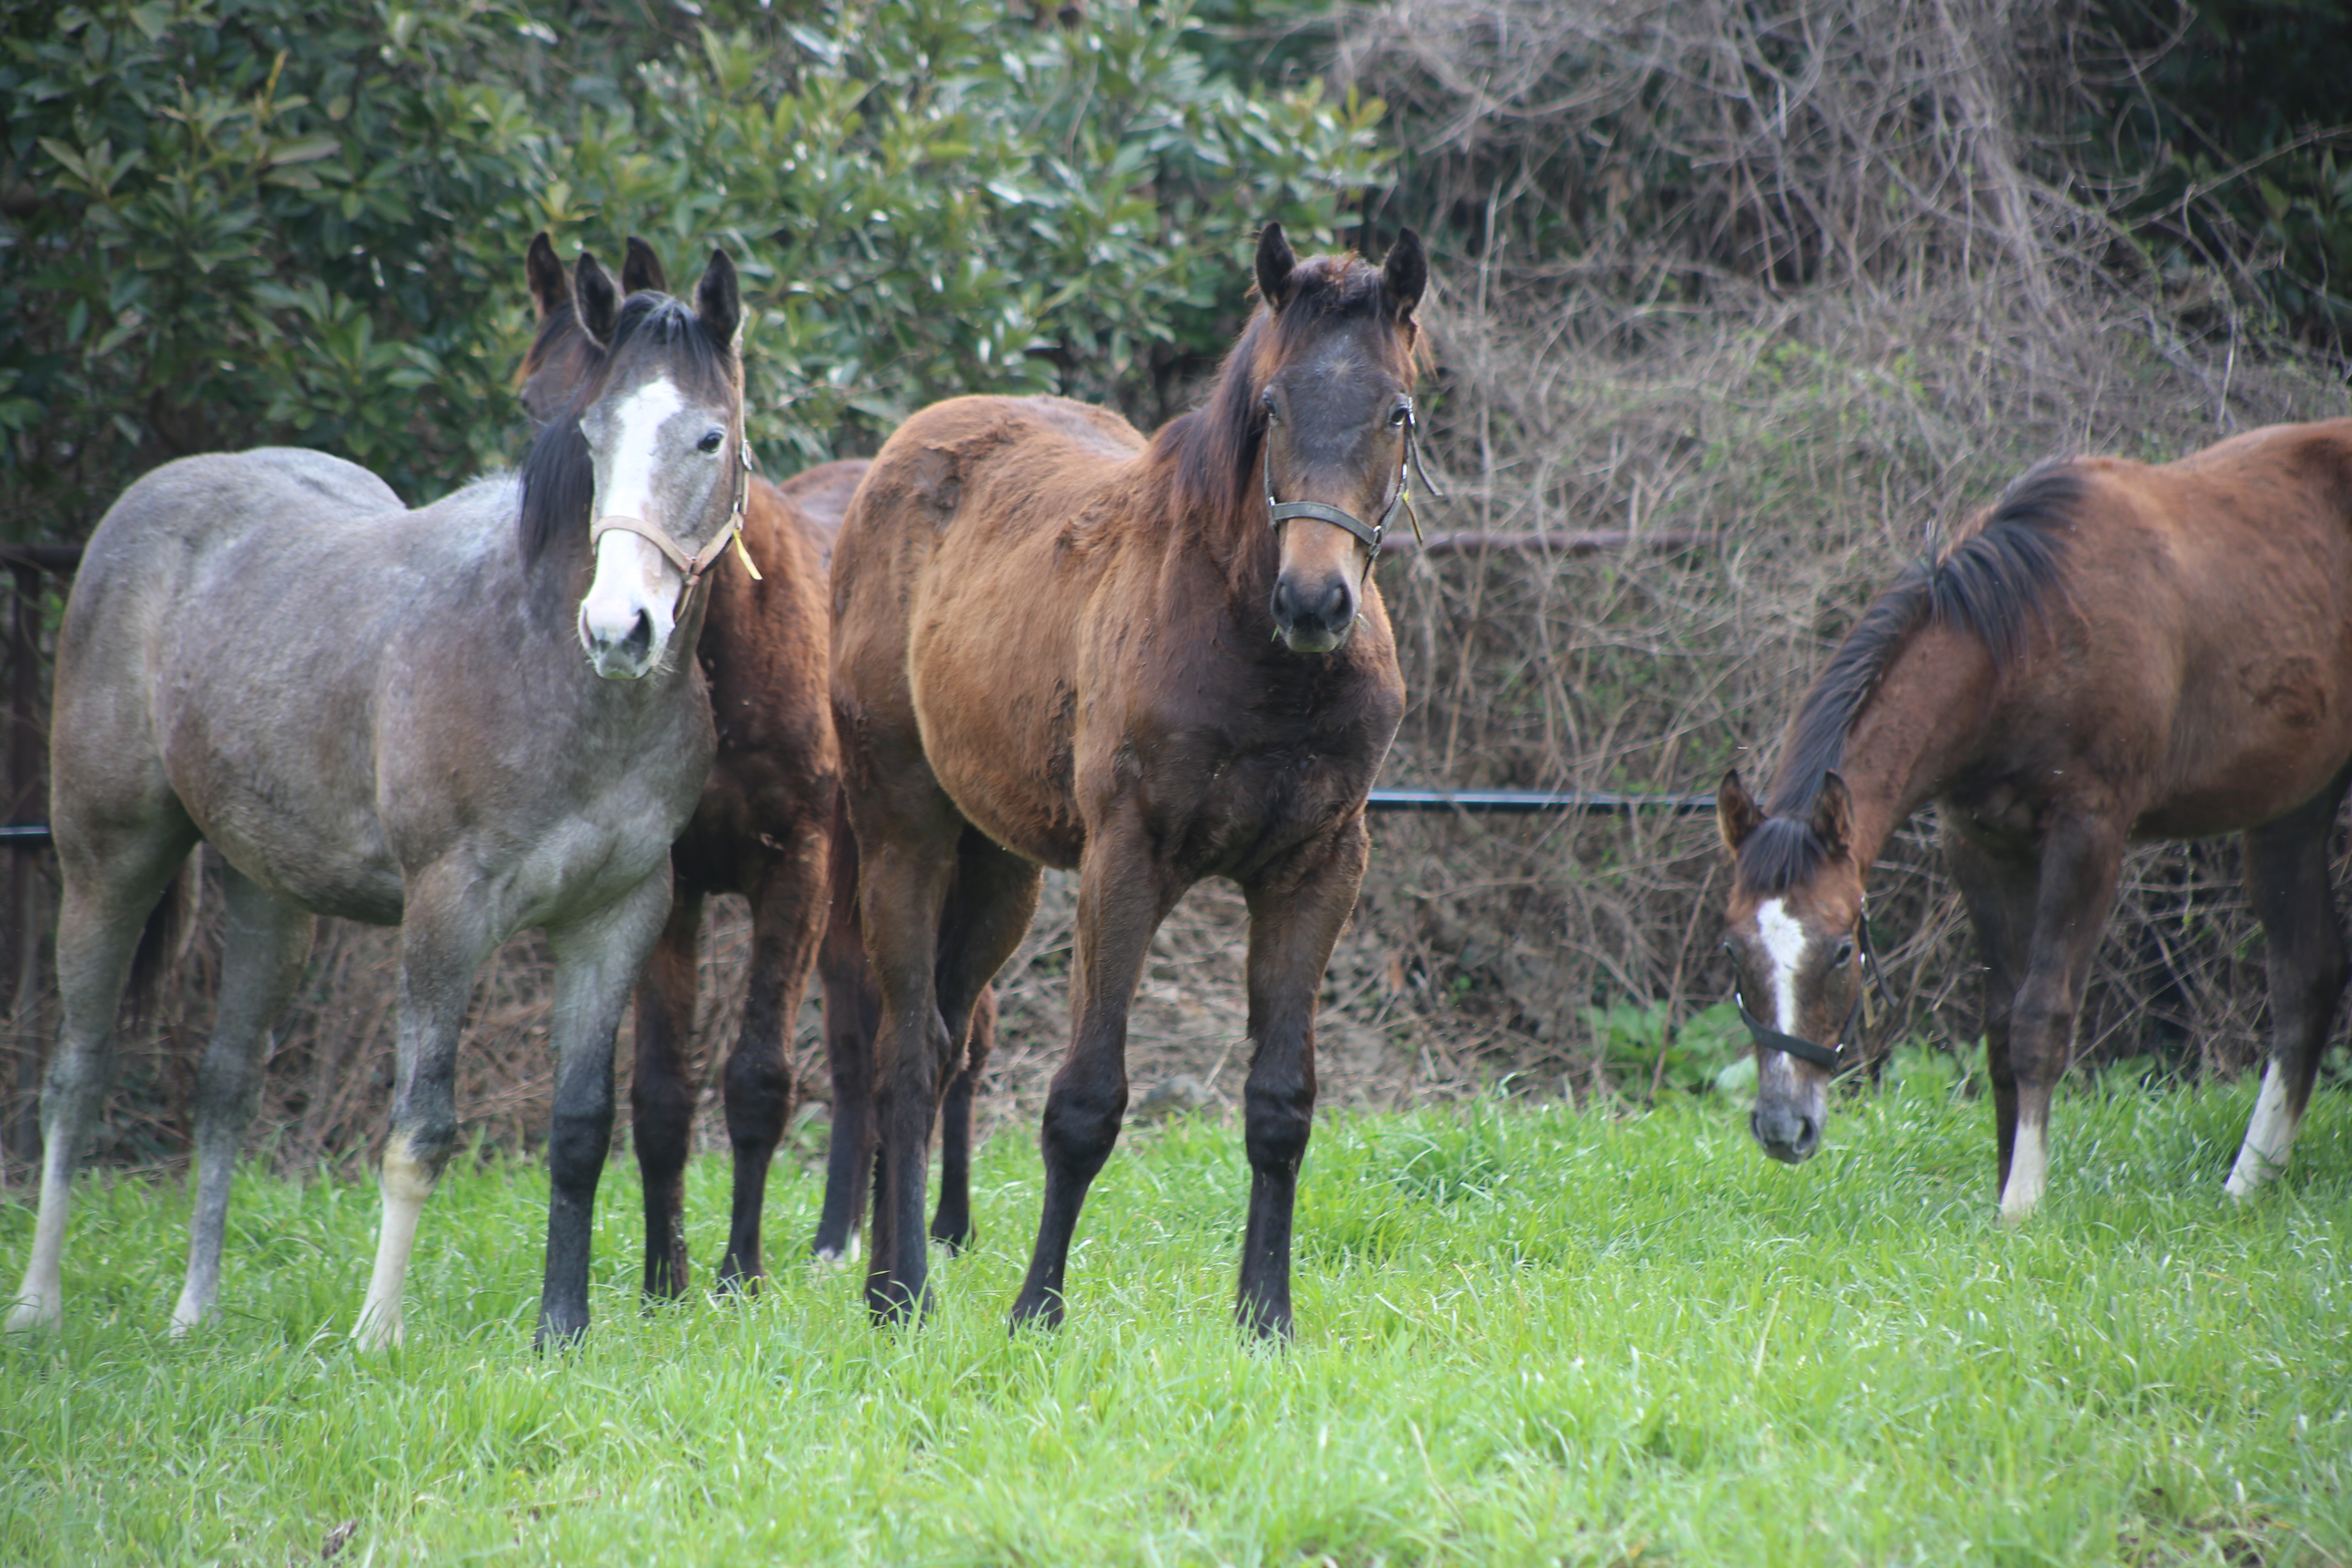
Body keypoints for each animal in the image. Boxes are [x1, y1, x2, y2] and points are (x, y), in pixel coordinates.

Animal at [4, 248, 743, 1354]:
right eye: (593, 435)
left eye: (709, 437)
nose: (621, 628)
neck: (544, 662)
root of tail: (145, 505)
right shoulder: (448, 910)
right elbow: (420, 1127)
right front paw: (378, 1334)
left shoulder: (617, 917)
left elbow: (578, 1129)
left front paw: (560, 1332)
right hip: (109, 861)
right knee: (76, 1071)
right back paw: (40, 1304)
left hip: (269, 892)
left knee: (227, 1081)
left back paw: (194, 1313)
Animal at [519, 236, 997, 1288]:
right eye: (559, 415)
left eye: (709, 438)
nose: (615, 624)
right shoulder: (668, 883)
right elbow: (663, 1091)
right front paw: (665, 1277)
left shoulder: (797, 866)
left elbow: (758, 1079)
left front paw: (739, 1270)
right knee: (863, 1043)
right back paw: (838, 1235)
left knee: (962, 1037)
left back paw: (944, 1226)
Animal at [837, 223, 1421, 1335]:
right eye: (1271, 407)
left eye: (1398, 412)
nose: (1315, 602)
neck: (1263, 661)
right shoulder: (1127, 859)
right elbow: (1084, 1100)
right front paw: (1035, 1311)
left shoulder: (1318, 869)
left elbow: (1280, 1104)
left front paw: (1265, 1317)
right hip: (901, 830)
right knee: (902, 1052)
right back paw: (900, 1292)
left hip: (1002, 871)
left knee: (943, 1038)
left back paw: (887, 1280)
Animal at [1712, 421, 2352, 1222]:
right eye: (1733, 950)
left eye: (1838, 952)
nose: (1782, 1127)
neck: (2020, 642)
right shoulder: (1979, 844)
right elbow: (1999, 1029)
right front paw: (2003, 1185)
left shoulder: (2088, 834)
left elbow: (2041, 1017)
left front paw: (2022, 1204)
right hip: (2291, 807)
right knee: (2306, 979)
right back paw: (2248, 1185)